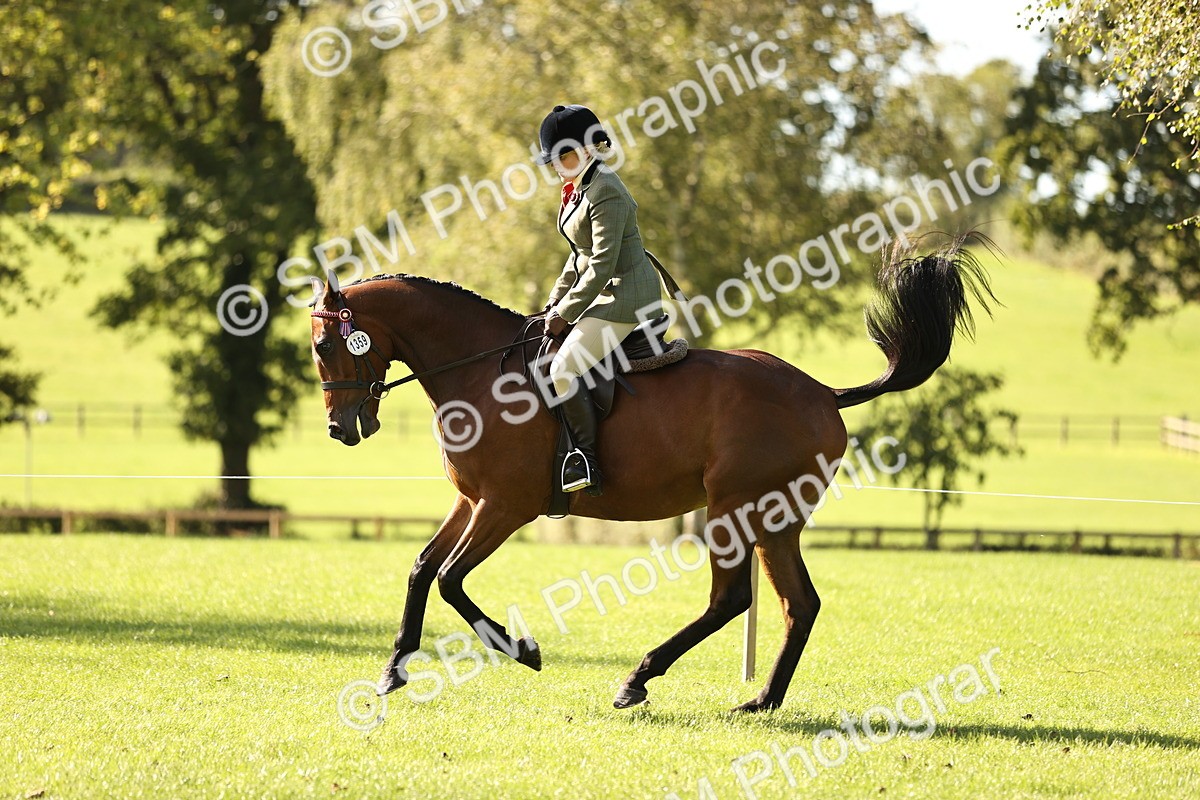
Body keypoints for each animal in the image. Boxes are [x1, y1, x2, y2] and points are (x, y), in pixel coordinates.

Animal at [308, 236, 994, 712]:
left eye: (322, 346)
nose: (340, 429)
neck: (480, 372)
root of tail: (823, 394)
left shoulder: (506, 506)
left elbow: (451, 580)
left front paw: (523, 650)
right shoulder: (472, 501)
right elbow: (423, 568)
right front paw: (393, 669)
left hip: (735, 509)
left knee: (731, 599)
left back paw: (637, 680)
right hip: (776, 521)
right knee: (798, 604)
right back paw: (761, 700)